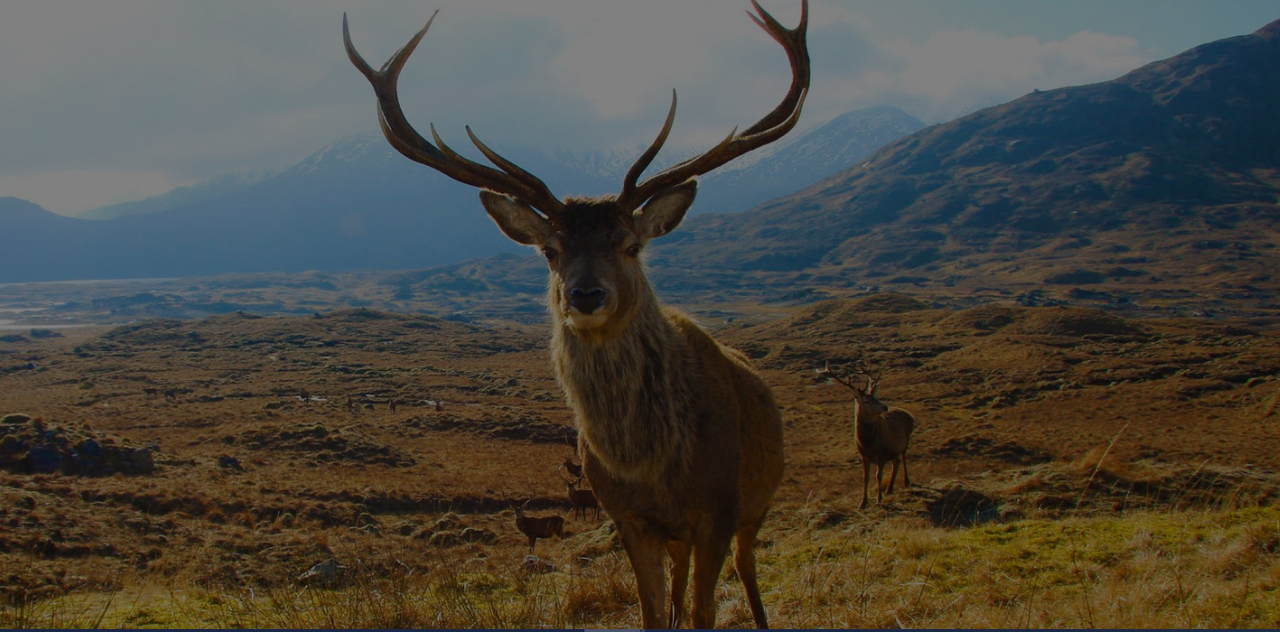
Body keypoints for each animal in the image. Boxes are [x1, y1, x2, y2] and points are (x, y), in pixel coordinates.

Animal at [343, 2, 806, 628]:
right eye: (550, 250)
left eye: (630, 245)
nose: (585, 296)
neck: (650, 465)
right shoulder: (630, 520)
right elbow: (654, 612)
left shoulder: (718, 510)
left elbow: (706, 612)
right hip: (683, 536)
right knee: (682, 580)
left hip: (757, 504)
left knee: (748, 567)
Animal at [817, 361, 916, 510]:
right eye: (866, 401)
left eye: (875, 397)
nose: (885, 407)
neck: (868, 443)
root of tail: (909, 414)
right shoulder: (863, 455)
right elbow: (865, 477)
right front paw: (862, 503)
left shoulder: (882, 453)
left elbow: (878, 475)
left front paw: (878, 500)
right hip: (892, 449)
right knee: (896, 462)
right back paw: (889, 489)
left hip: (906, 438)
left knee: (903, 458)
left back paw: (906, 481)